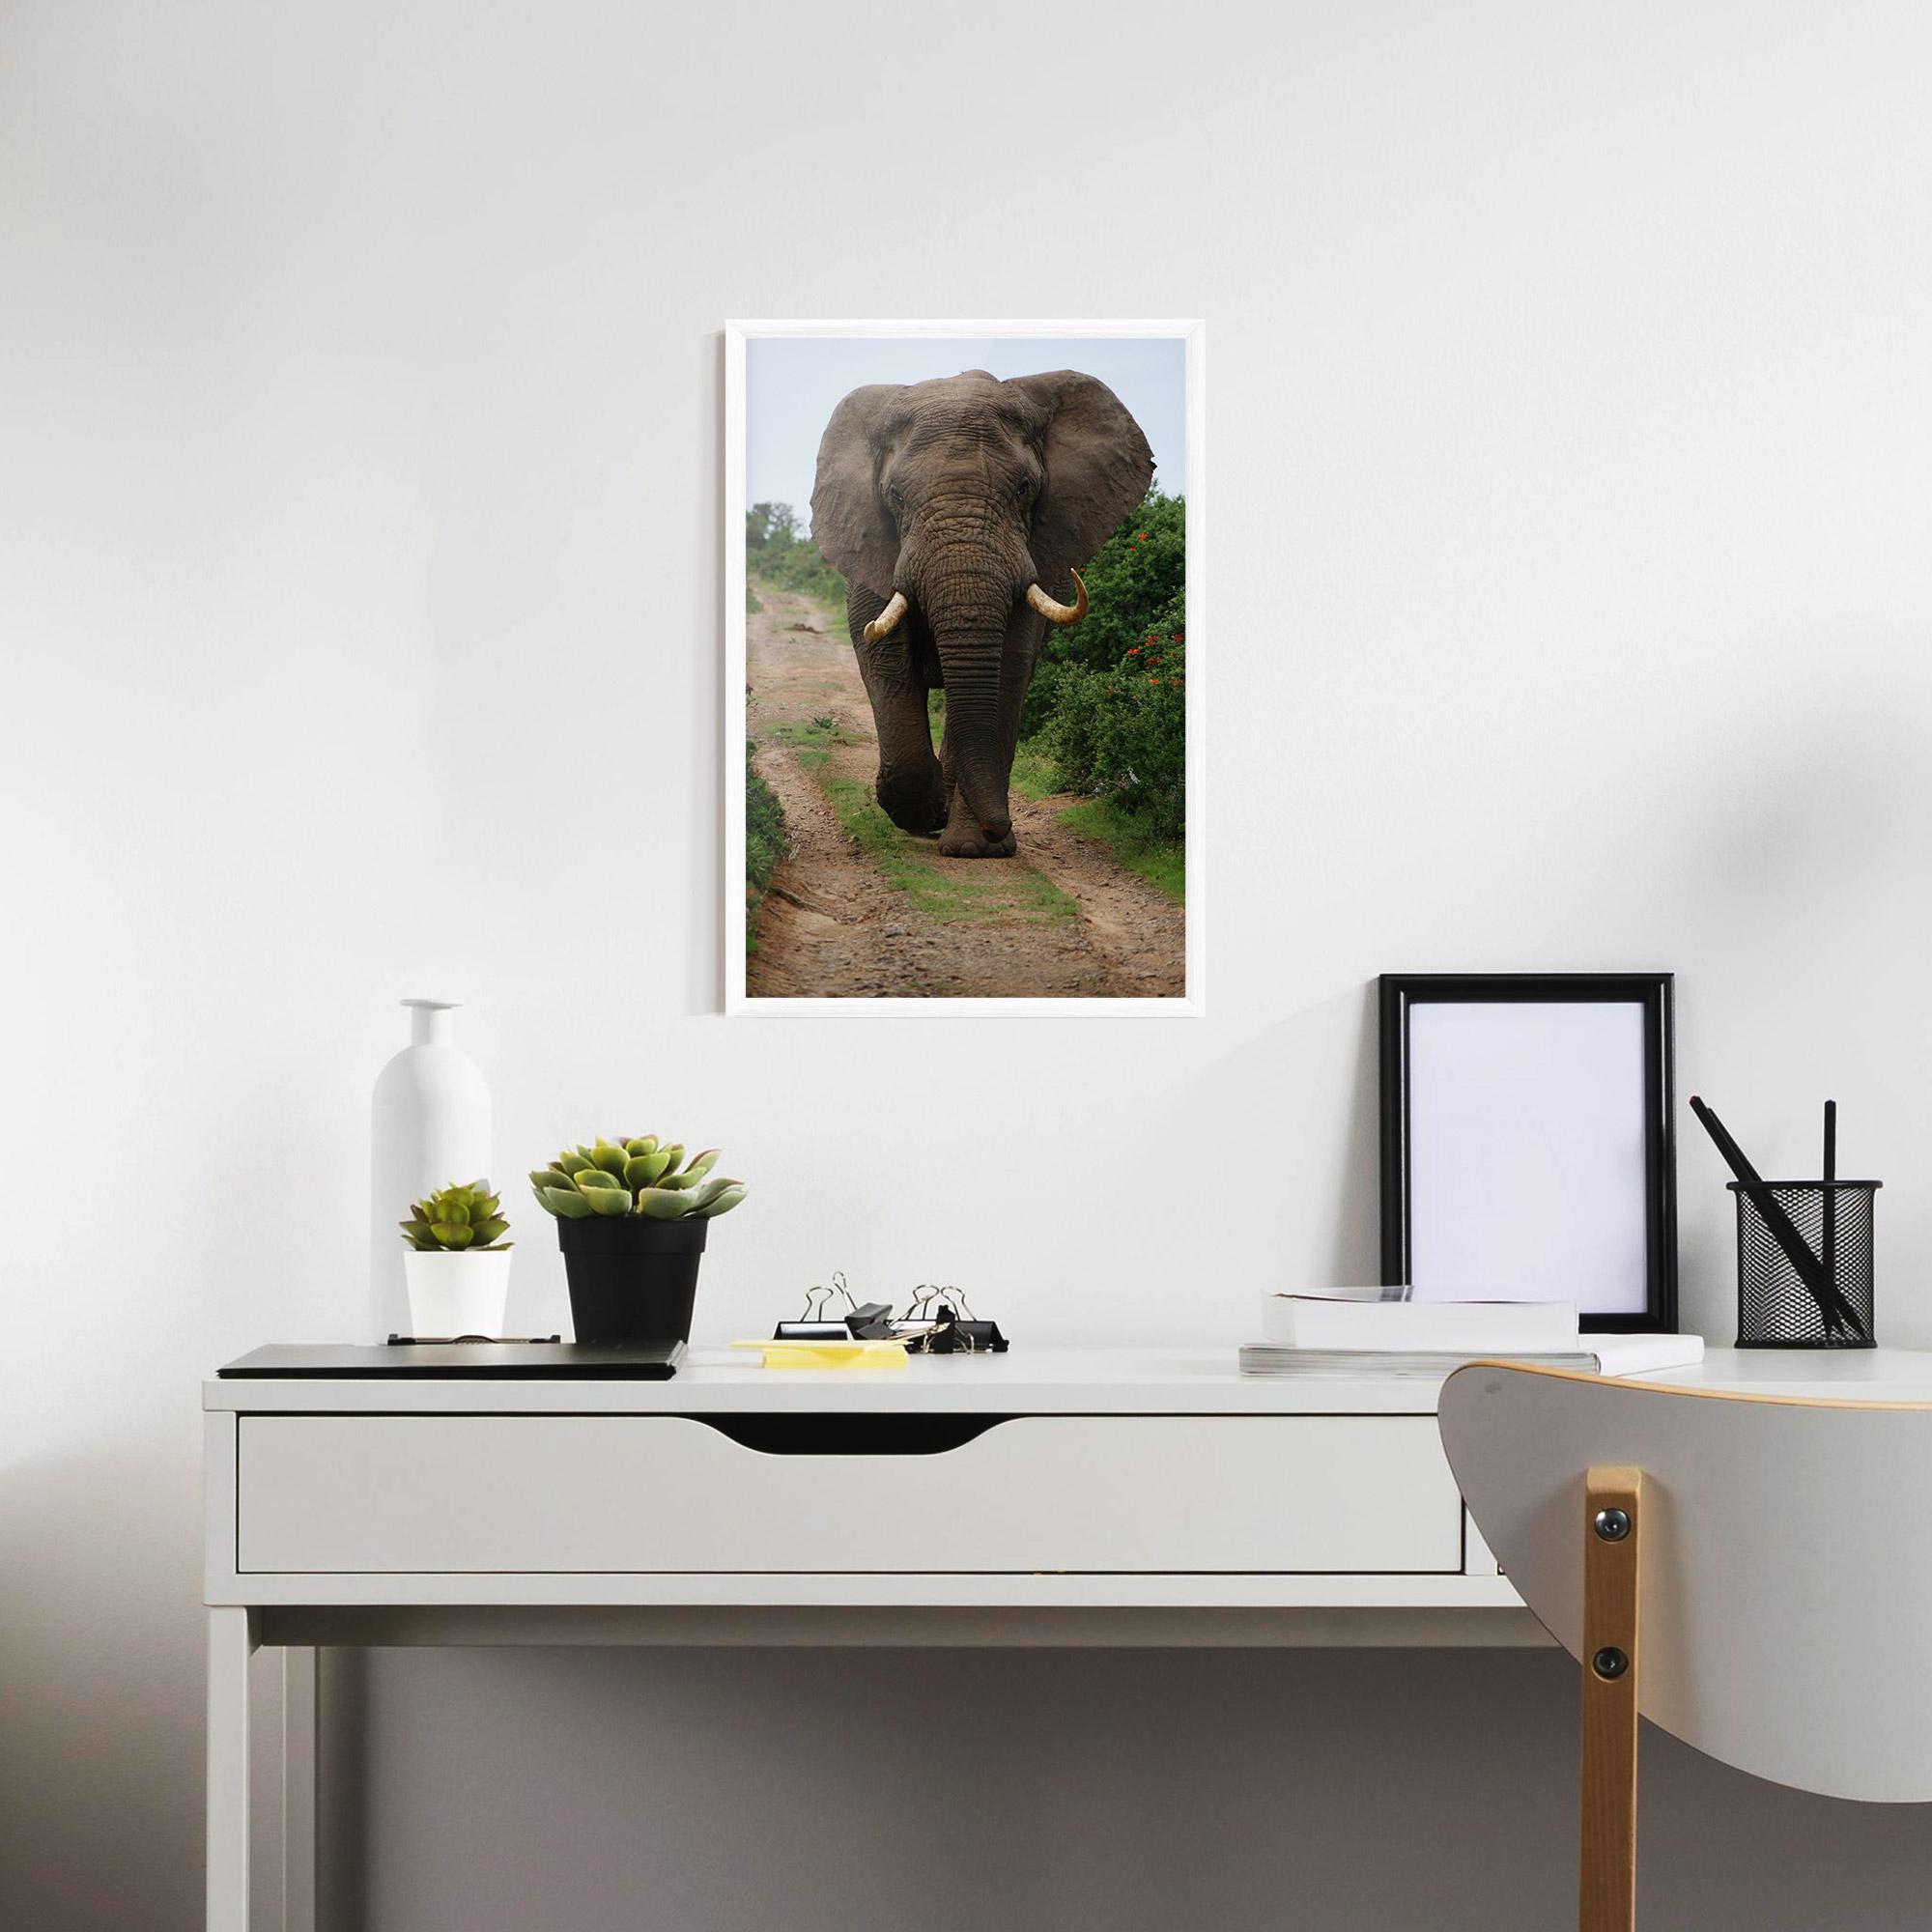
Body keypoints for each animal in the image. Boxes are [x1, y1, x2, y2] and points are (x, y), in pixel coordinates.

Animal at [809, 368, 1154, 858]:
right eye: (895, 497)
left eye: (1025, 489)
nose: (999, 826)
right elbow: (883, 658)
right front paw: (925, 813)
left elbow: (1009, 666)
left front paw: (976, 849)